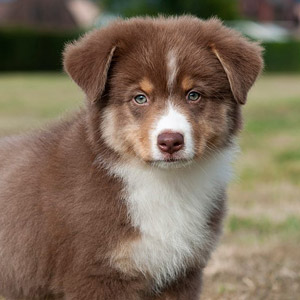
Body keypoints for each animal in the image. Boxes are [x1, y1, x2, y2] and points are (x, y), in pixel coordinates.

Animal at [0, 15, 262, 300]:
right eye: (140, 98)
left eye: (194, 95)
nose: (170, 141)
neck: (164, 183)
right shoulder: (97, 273)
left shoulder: (182, 272)